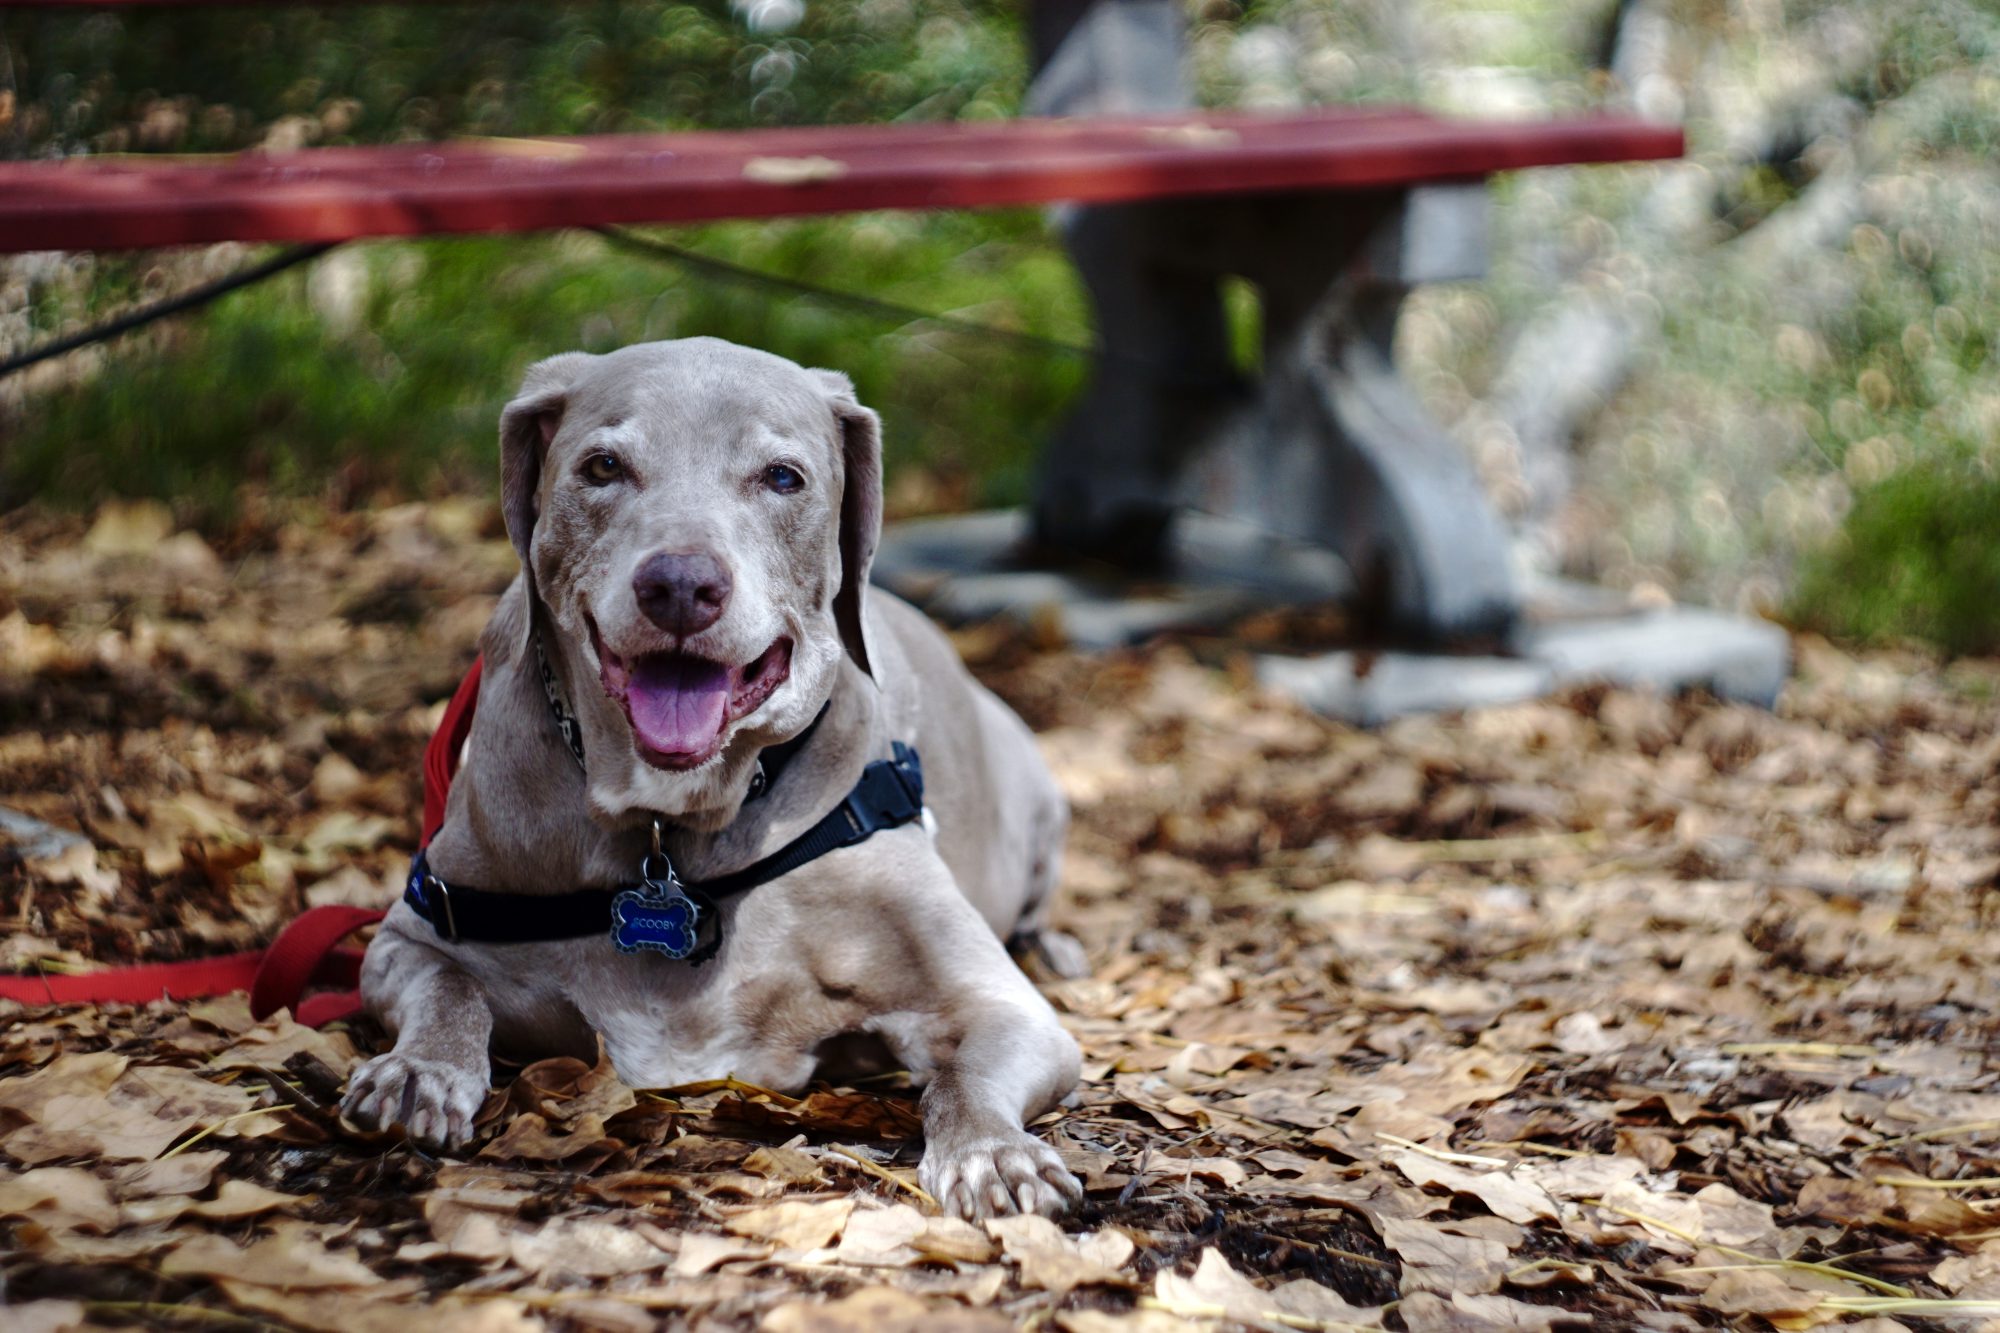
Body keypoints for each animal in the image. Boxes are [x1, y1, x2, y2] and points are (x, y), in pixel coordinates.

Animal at [348, 340, 1096, 1216]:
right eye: (603, 466)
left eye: (783, 477)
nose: (679, 585)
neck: (674, 823)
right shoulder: (411, 933)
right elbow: (448, 989)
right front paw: (420, 1071)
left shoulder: (999, 1004)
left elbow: (965, 1070)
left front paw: (991, 1153)